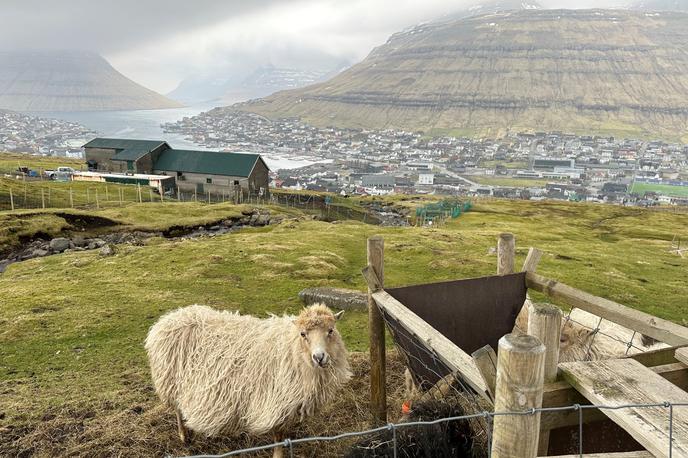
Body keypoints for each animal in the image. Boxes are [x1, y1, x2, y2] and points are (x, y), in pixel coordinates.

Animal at [144, 302, 350, 456]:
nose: (319, 357)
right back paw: (184, 436)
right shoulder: (275, 401)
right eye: (303, 334)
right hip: (170, 381)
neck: (292, 349)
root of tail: (170, 317)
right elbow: (278, 437)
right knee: (178, 410)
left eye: (331, 331)